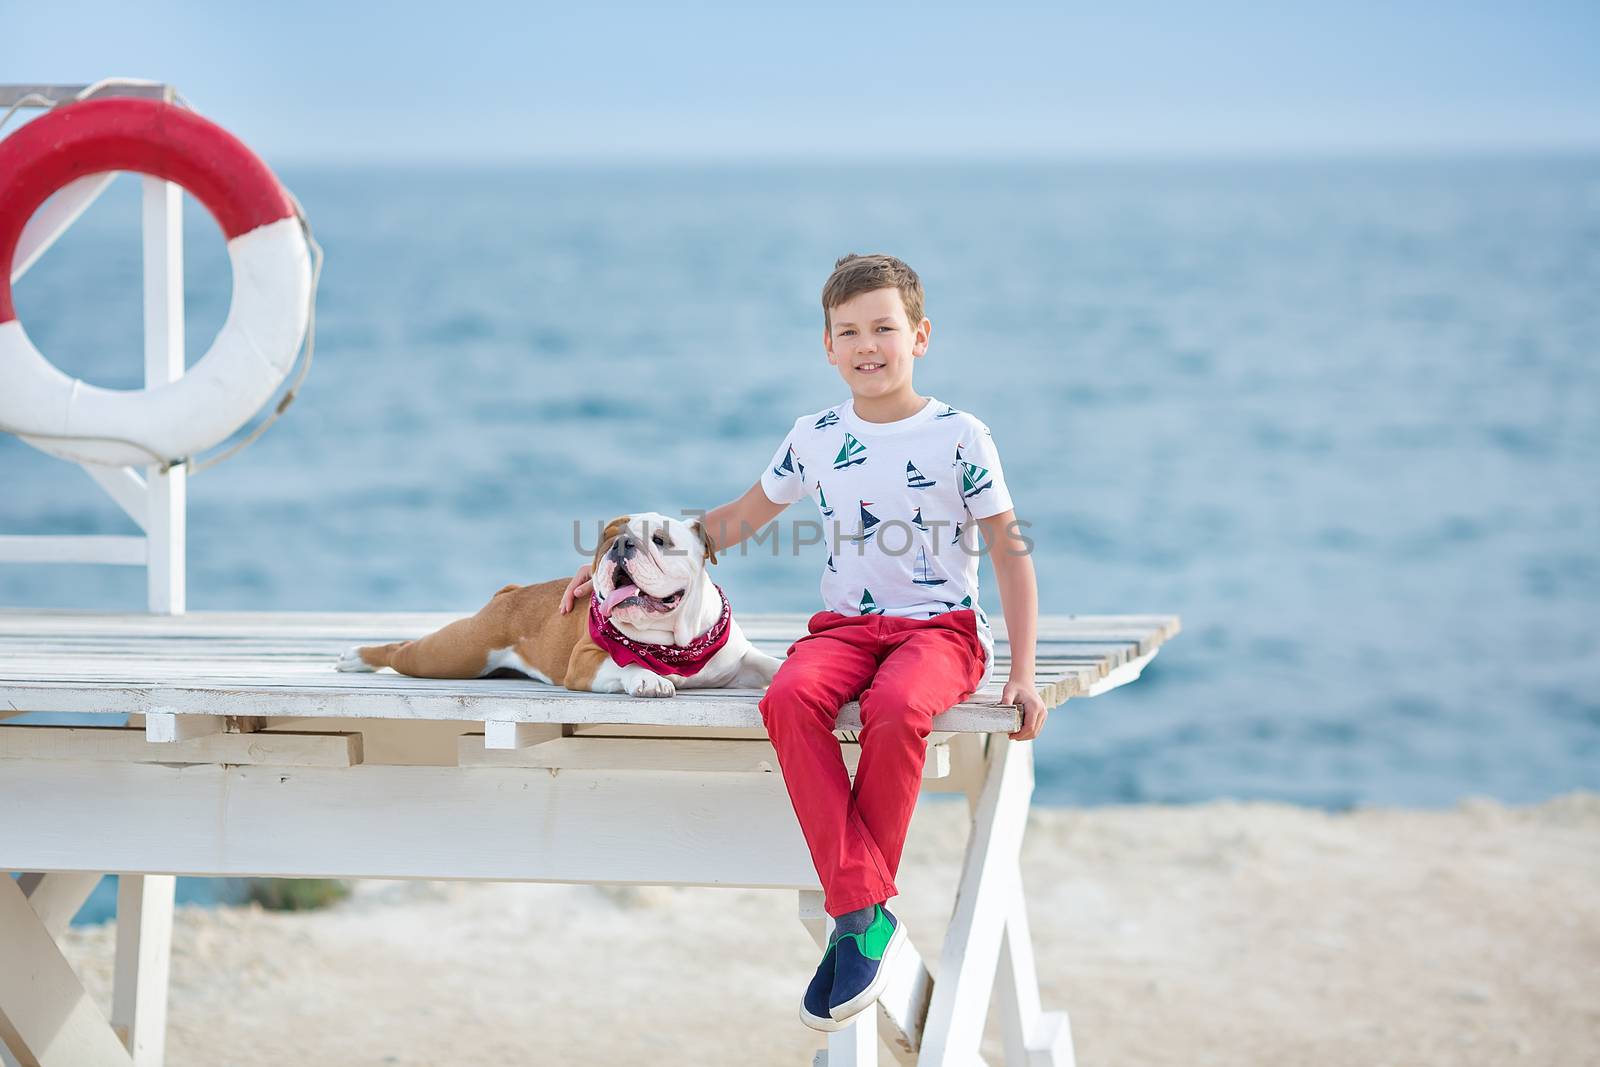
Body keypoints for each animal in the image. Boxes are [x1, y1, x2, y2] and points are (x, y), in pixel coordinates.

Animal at [336, 511, 780, 697]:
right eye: (610, 539)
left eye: (660, 540)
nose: (621, 545)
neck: (674, 643)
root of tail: (511, 592)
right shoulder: (585, 662)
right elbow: (628, 664)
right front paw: (649, 678)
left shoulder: (740, 660)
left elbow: (770, 664)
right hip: (452, 654)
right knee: (403, 649)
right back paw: (356, 655)